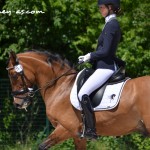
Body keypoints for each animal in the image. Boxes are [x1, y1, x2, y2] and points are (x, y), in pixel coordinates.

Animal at [6, 50, 149, 150]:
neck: (60, 87)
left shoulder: (65, 129)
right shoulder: (78, 137)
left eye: (13, 75)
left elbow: (41, 146)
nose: (17, 103)